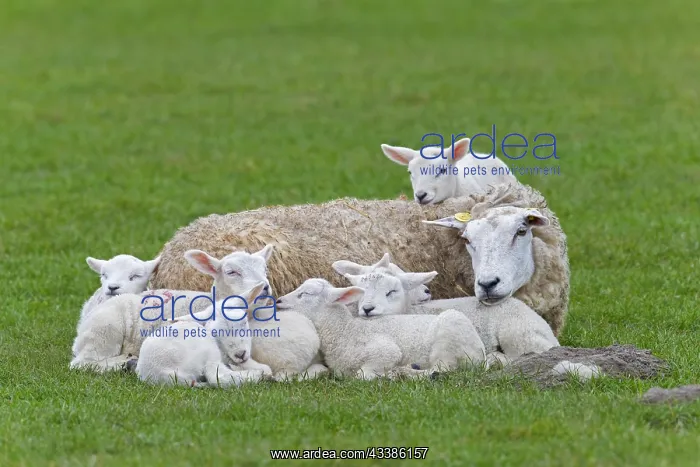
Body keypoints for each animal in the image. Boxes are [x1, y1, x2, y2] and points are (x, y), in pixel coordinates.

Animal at [70, 246, 274, 373]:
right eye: (231, 272)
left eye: (265, 268)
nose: (264, 287)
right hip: (104, 333)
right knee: (83, 363)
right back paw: (123, 362)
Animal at [136, 282, 273, 387]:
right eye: (215, 333)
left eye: (244, 322)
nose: (240, 354)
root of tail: (161, 373)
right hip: (207, 352)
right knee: (217, 377)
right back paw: (256, 374)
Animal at [275, 278, 486, 379]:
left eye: (305, 294)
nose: (278, 301)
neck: (345, 330)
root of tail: (481, 353)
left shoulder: (385, 351)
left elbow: (362, 375)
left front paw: (388, 375)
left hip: (449, 337)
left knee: (441, 369)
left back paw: (406, 372)